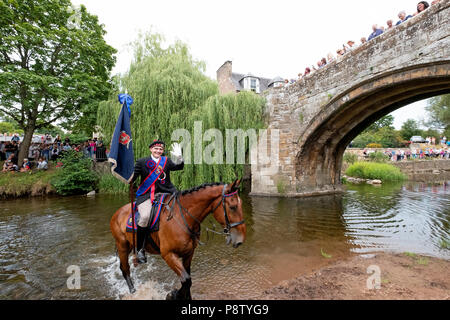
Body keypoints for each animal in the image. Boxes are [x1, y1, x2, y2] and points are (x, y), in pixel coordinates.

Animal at [111, 179, 246, 298]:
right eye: (233, 207)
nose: (240, 240)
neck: (183, 218)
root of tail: (118, 212)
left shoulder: (188, 253)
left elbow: (188, 280)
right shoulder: (169, 255)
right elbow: (186, 280)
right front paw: (172, 295)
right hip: (122, 246)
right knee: (125, 269)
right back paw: (133, 291)